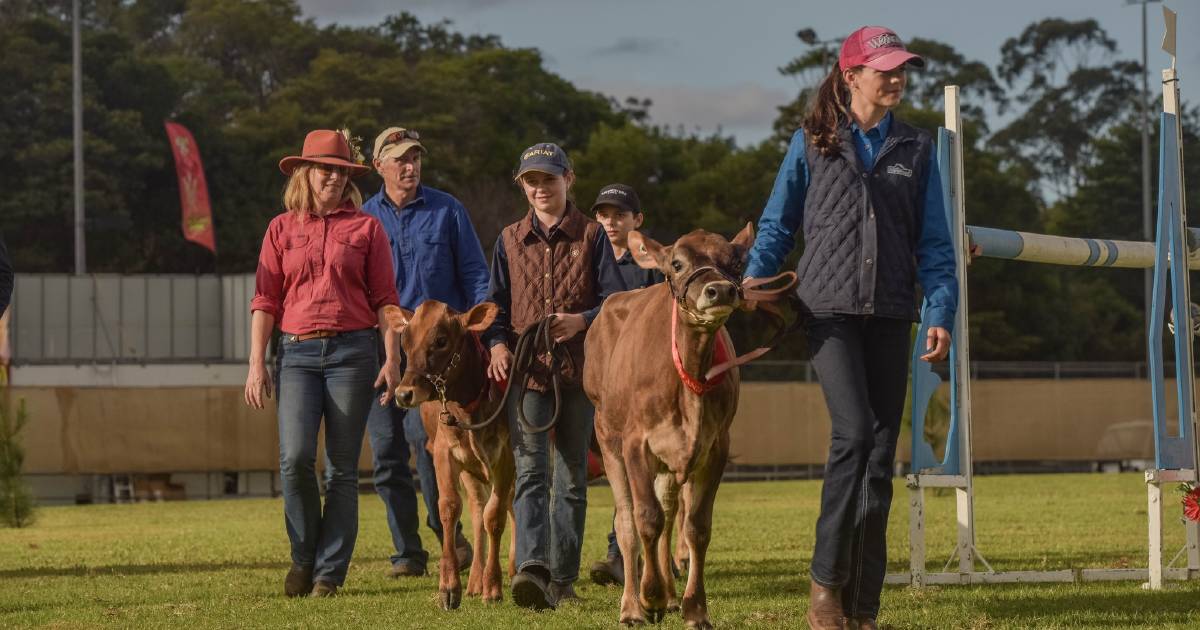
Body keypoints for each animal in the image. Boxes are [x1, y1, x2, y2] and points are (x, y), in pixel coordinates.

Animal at [384, 300, 516, 609]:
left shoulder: (506, 457)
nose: (403, 394)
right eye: (405, 343)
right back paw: (476, 580)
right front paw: (449, 586)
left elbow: (496, 517)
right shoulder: (444, 453)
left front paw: (494, 586)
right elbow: (449, 508)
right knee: (479, 510)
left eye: (441, 341)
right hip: (471, 470)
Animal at [580, 223, 748, 624]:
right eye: (677, 262)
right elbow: (646, 518)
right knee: (627, 522)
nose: (719, 289)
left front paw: (694, 608)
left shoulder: (716, 448)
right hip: (608, 438)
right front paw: (650, 596)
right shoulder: (636, 443)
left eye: (736, 261)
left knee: (671, 514)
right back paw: (632, 605)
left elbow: (696, 526)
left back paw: (671, 597)